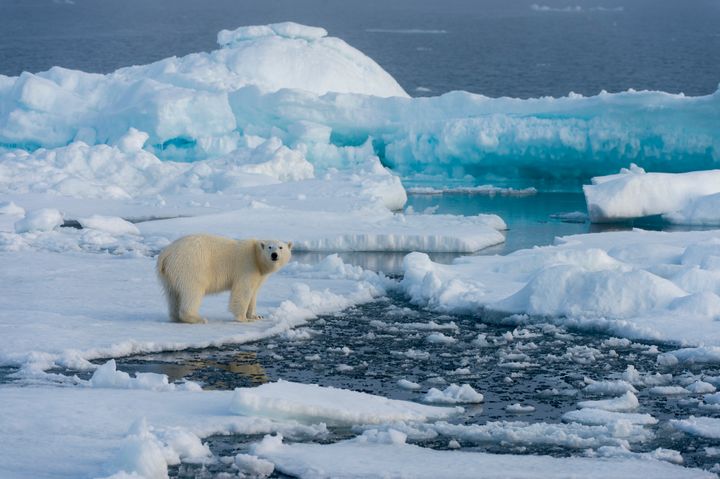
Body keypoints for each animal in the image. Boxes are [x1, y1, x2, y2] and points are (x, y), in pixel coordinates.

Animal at [158, 234, 292, 324]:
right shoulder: (247, 266)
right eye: (270, 247)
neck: (256, 257)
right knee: (192, 291)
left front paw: (256, 316)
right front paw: (244, 318)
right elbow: (242, 291)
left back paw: (176, 317)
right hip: (190, 265)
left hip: (169, 275)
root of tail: (166, 254)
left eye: (281, 247)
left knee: (173, 294)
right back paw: (198, 318)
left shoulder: (258, 275)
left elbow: (253, 293)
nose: (274, 255)